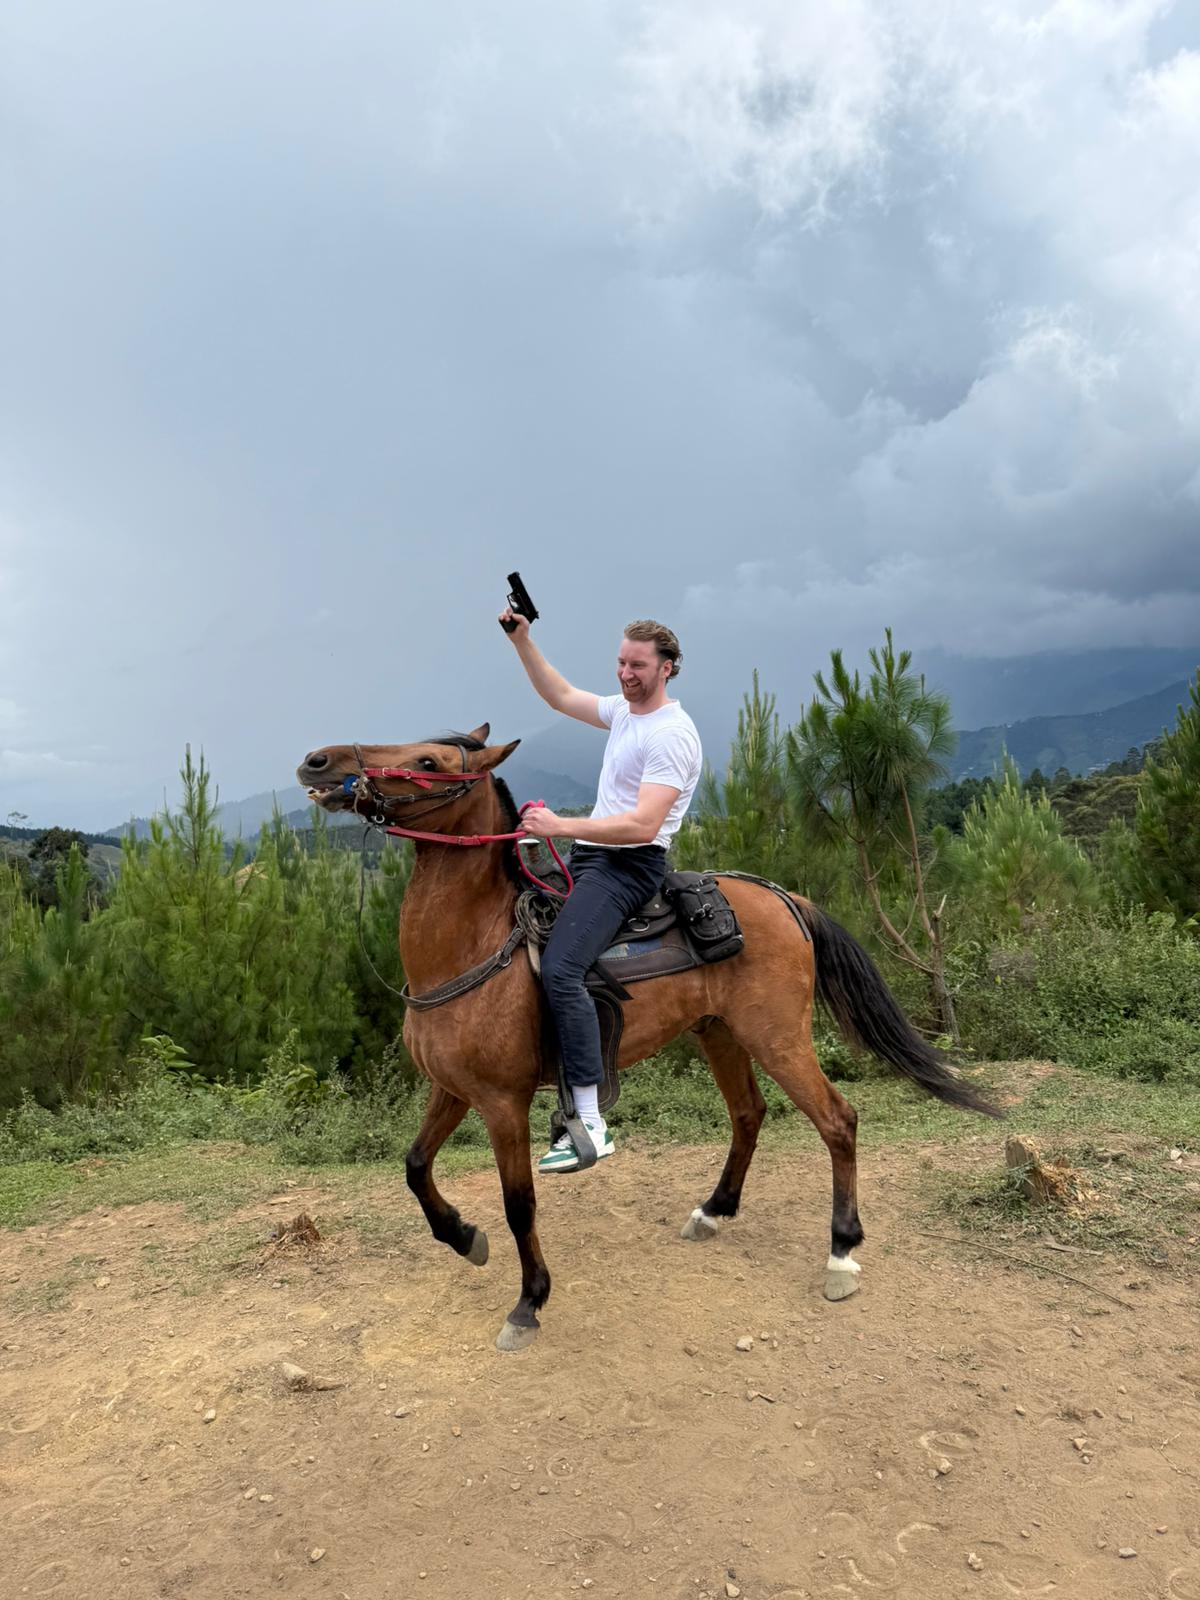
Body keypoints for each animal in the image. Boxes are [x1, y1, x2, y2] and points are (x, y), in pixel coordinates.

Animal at [297, 726, 998, 1352]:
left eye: (428, 761)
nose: (319, 761)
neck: (474, 945)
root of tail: (785, 898)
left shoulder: (502, 1103)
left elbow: (519, 1204)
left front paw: (529, 1302)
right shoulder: (454, 1089)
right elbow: (415, 1166)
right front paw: (465, 1238)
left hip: (778, 1039)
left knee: (837, 1120)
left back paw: (841, 1253)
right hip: (721, 1034)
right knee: (749, 1113)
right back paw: (713, 1210)